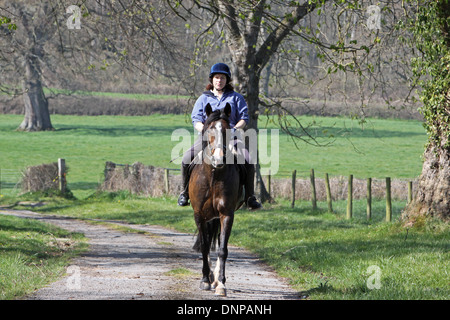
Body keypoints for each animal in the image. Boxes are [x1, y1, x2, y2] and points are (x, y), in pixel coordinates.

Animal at [188, 102, 244, 298]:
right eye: (210, 128)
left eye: (227, 129)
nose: (219, 158)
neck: (213, 175)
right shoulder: (199, 215)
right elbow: (204, 246)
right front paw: (205, 280)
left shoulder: (226, 214)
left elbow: (222, 249)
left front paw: (221, 284)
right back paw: (211, 276)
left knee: (219, 241)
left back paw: (217, 279)